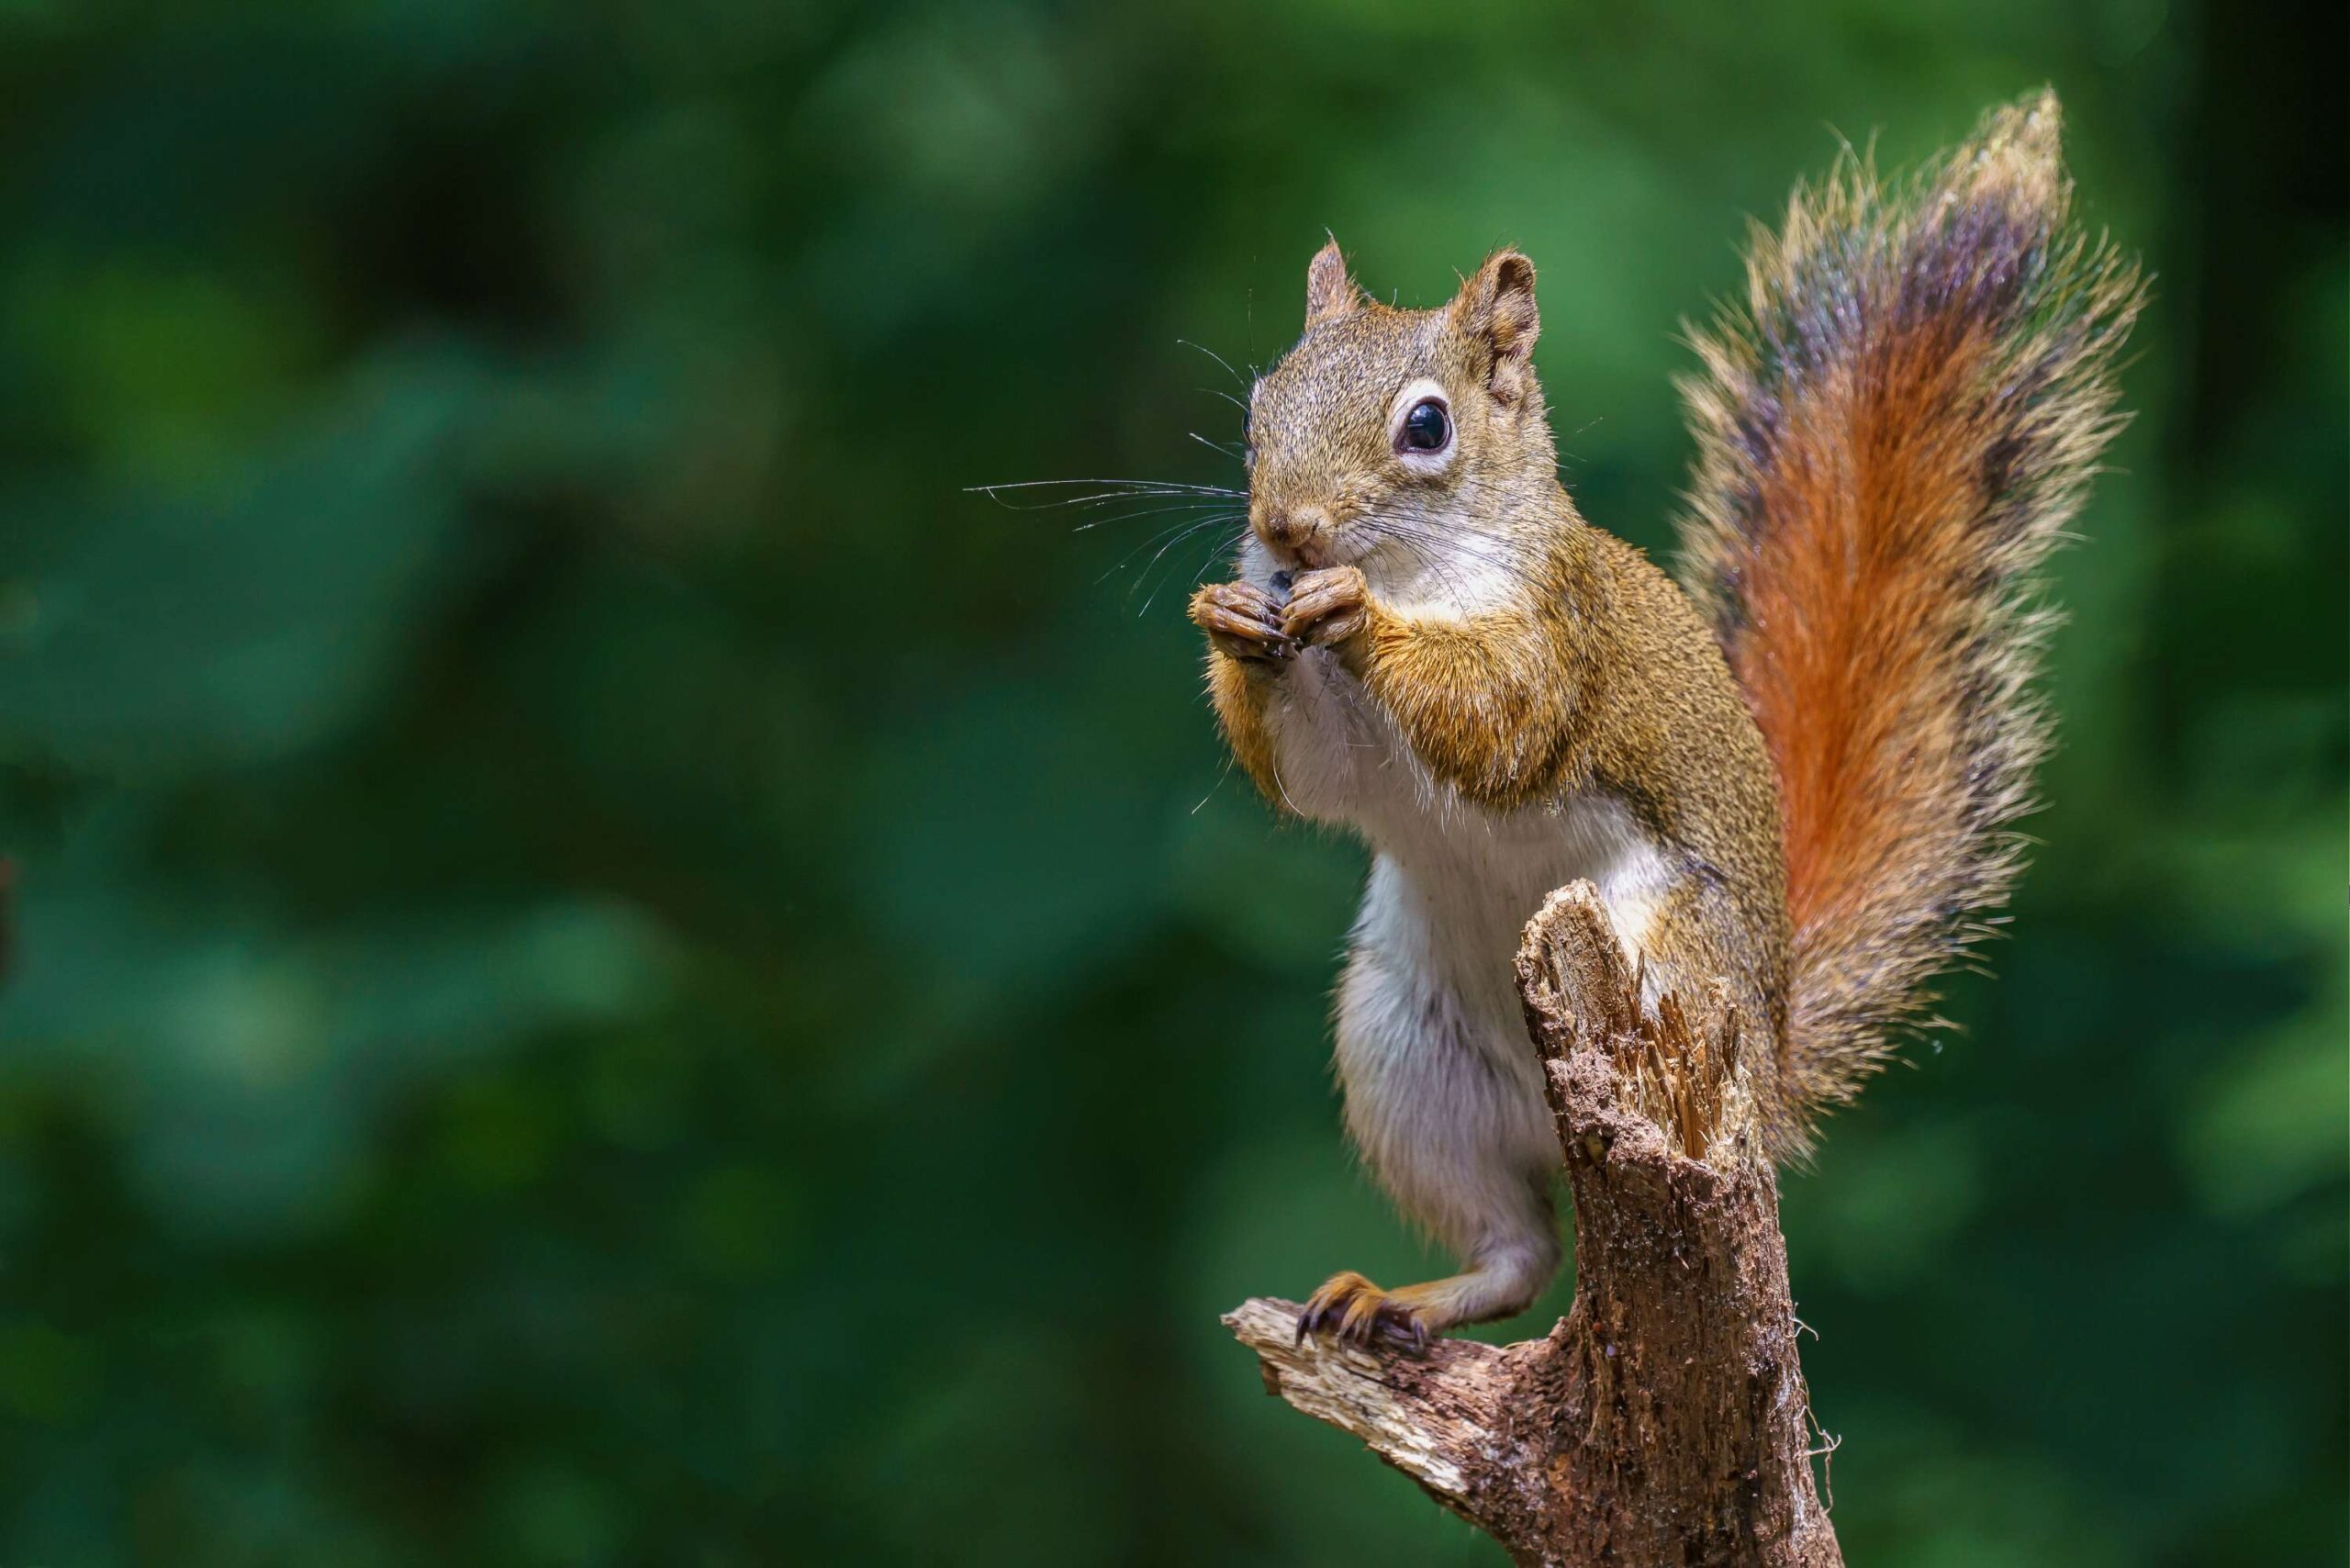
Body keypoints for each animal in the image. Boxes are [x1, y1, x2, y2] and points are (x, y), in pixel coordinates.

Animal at [1186, 91, 2143, 1348]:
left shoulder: (1561, 634)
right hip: (1408, 1053)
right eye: (1259, 406)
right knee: (1517, 1249)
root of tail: (1772, 1069)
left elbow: (1498, 717)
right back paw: (1394, 1296)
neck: (1414, 570)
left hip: (1668, 965)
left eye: (1427, 427)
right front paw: (1231, 619)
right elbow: (1313, 776)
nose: (1286, 532)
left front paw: (1355, 617)